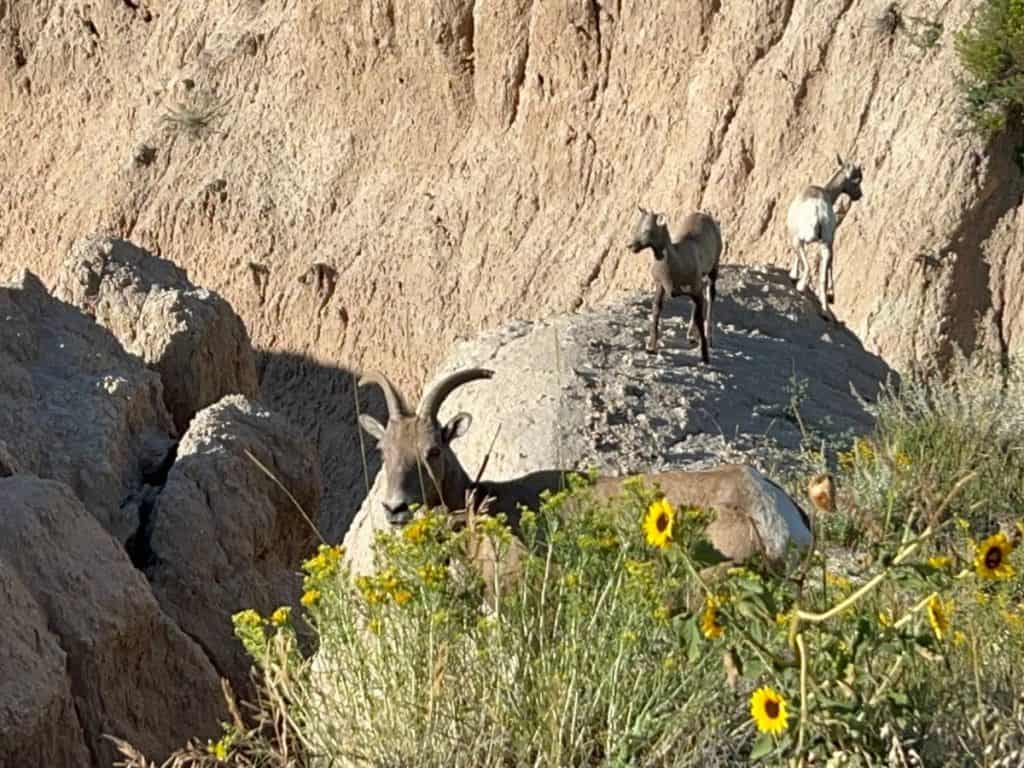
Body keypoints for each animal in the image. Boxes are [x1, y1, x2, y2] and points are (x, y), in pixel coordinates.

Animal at [627, 207, 723, 362]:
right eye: (637, 226)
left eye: (647, 229)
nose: (630, 246)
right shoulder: (661, 286)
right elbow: (656, 311)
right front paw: (651, 348)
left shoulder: (695, 289)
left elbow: (699, 318)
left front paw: (705, 357)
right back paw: (691, 336)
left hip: (713, 271)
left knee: (710, 297)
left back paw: (708, 339)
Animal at [786, 156, 864, 321]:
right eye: (857, 180)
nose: (859, 195)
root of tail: (817, 209)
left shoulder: (795, 237)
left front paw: (793, 275)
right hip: (826, 244)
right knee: (823, 276)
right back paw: (825, 311)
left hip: (801, 240)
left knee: (808, 266)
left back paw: (800, 286)